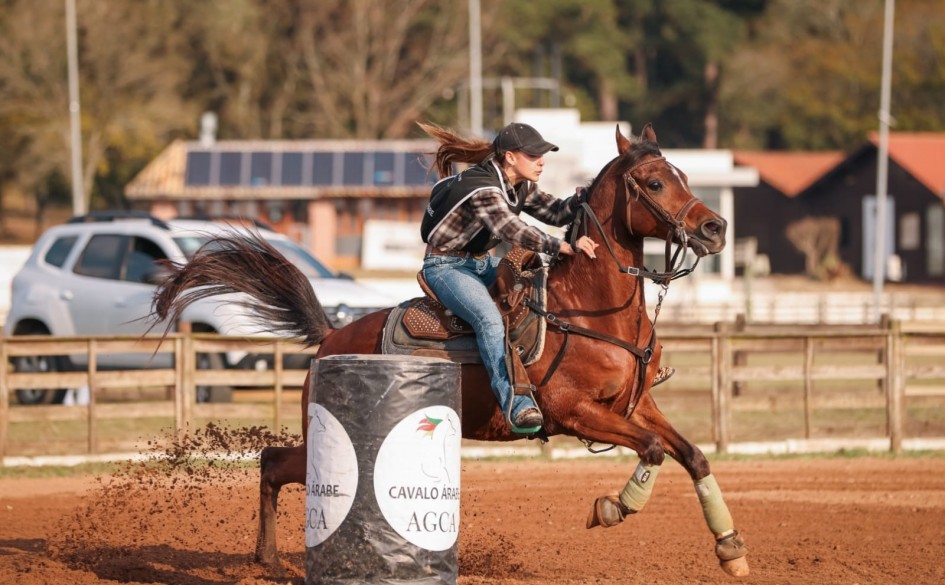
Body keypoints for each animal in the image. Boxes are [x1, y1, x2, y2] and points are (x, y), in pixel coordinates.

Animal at [151, 123, 750, 577]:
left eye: (685, 176)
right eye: (654, 181)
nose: (716, 228)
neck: (589, 306)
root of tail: (330, 336)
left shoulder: (636, 405)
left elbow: (691, 454)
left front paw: (730, 548)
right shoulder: (575, 412)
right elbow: (653, 449)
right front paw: (611, 508)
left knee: (274, 461)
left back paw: (267, 559)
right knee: (275, 463)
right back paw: (270, 559)